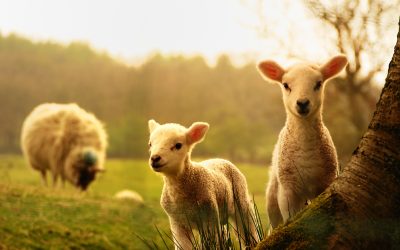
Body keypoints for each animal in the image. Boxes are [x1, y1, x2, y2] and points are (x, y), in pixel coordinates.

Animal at [148, 120, 258, 249]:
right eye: (150, 144)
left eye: (178, 145)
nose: (155, 158)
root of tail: (220, 158)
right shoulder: (177, 222)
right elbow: (183, 246)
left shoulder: (209, 218)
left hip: (241, 201)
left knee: (248, 228)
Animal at [258, 54, 348, 229]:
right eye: (286, 85)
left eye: (318, 83)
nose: (302, 103)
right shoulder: (287, 190)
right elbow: (289, 218)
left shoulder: (324, 183)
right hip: (273, 193)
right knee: (274, 222)